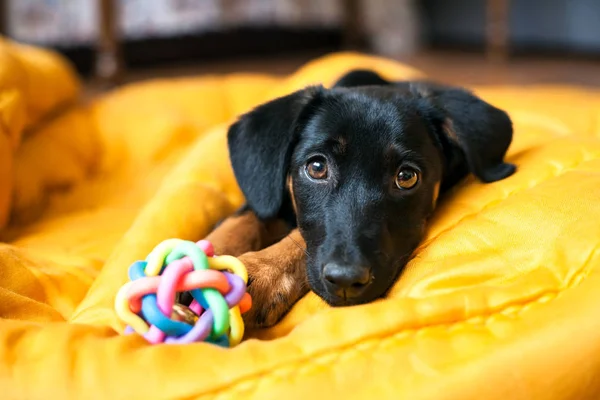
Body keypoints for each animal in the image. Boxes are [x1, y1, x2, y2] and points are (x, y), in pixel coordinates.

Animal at [203, 70, 516, 330]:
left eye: (407, 177)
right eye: (317, 167)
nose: (346, 281)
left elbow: (299, 239)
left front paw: (261, 270)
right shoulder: (268, 193)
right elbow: (246, 217)